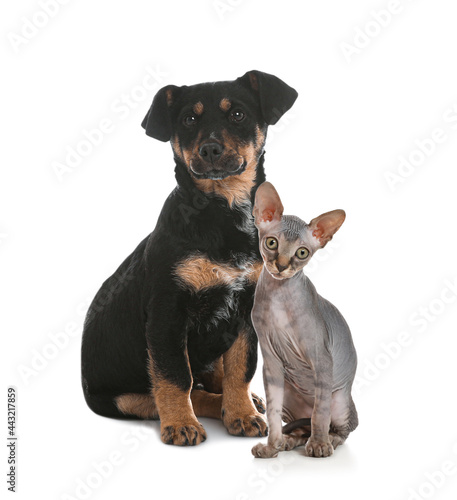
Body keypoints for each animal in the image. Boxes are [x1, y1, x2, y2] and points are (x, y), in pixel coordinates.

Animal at [80, 69, 298, 446]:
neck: (222, 210)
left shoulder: (246, 311)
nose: (209, 149)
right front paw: (181, 424)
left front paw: (241, 414)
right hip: (122, 397)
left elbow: (240, 368)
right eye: (188, 120)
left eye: (237, 114)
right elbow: (174, 377)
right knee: (182, 390)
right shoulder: (167, 313)